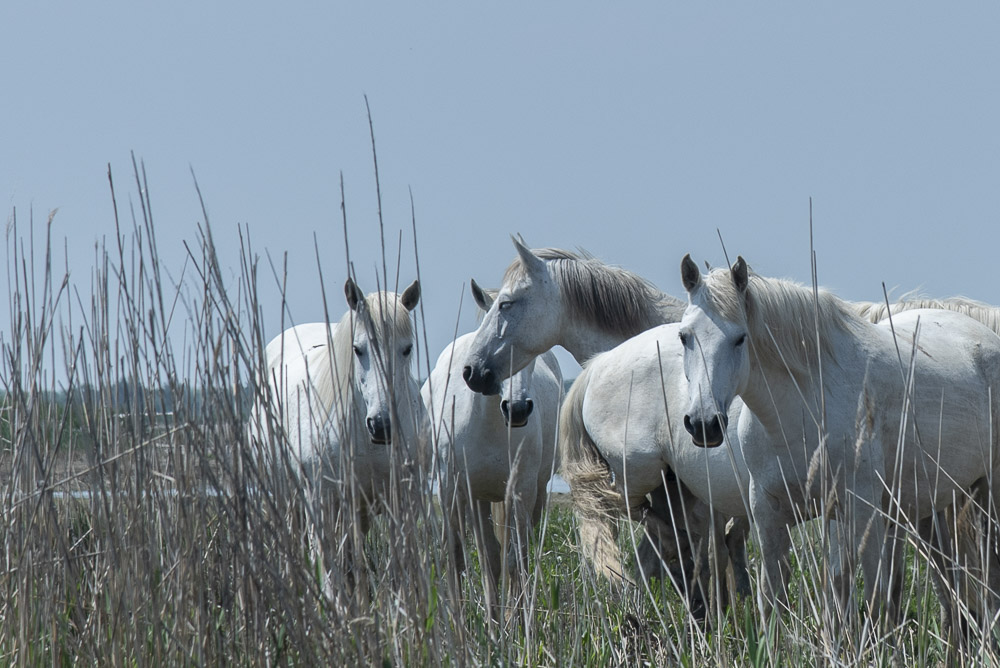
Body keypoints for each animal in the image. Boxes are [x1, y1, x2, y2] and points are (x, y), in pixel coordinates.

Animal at [252, 274, 424, 588]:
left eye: (407, 349)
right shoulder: (322, 507)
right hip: (288, 503)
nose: (381, 425)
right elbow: (330, 575)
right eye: (358, 349)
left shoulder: (403, 506)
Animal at [684, 254, 1000, 620]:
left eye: (740, 338)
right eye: (684, 336)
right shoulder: (768, 512)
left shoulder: (862, 512)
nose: (703, 424)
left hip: (987, 492)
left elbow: (875, 601)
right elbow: (777, 598)